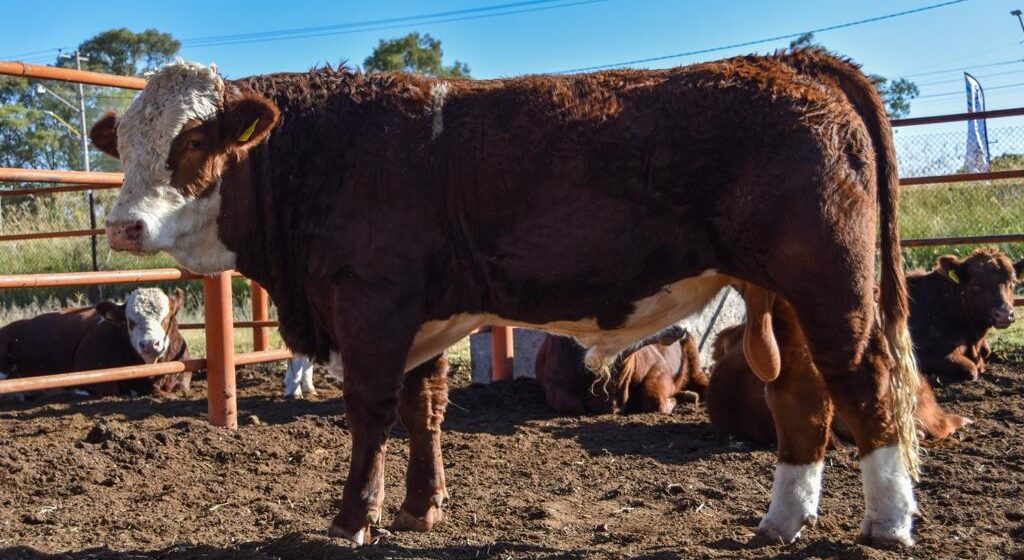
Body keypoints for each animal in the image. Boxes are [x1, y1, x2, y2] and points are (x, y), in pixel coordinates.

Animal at [536, 323, 704, 415]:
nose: (678, 328)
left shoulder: (657, 366)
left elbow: (655, 400)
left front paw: (673, 401)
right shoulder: (553, 382)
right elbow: (573, 405)